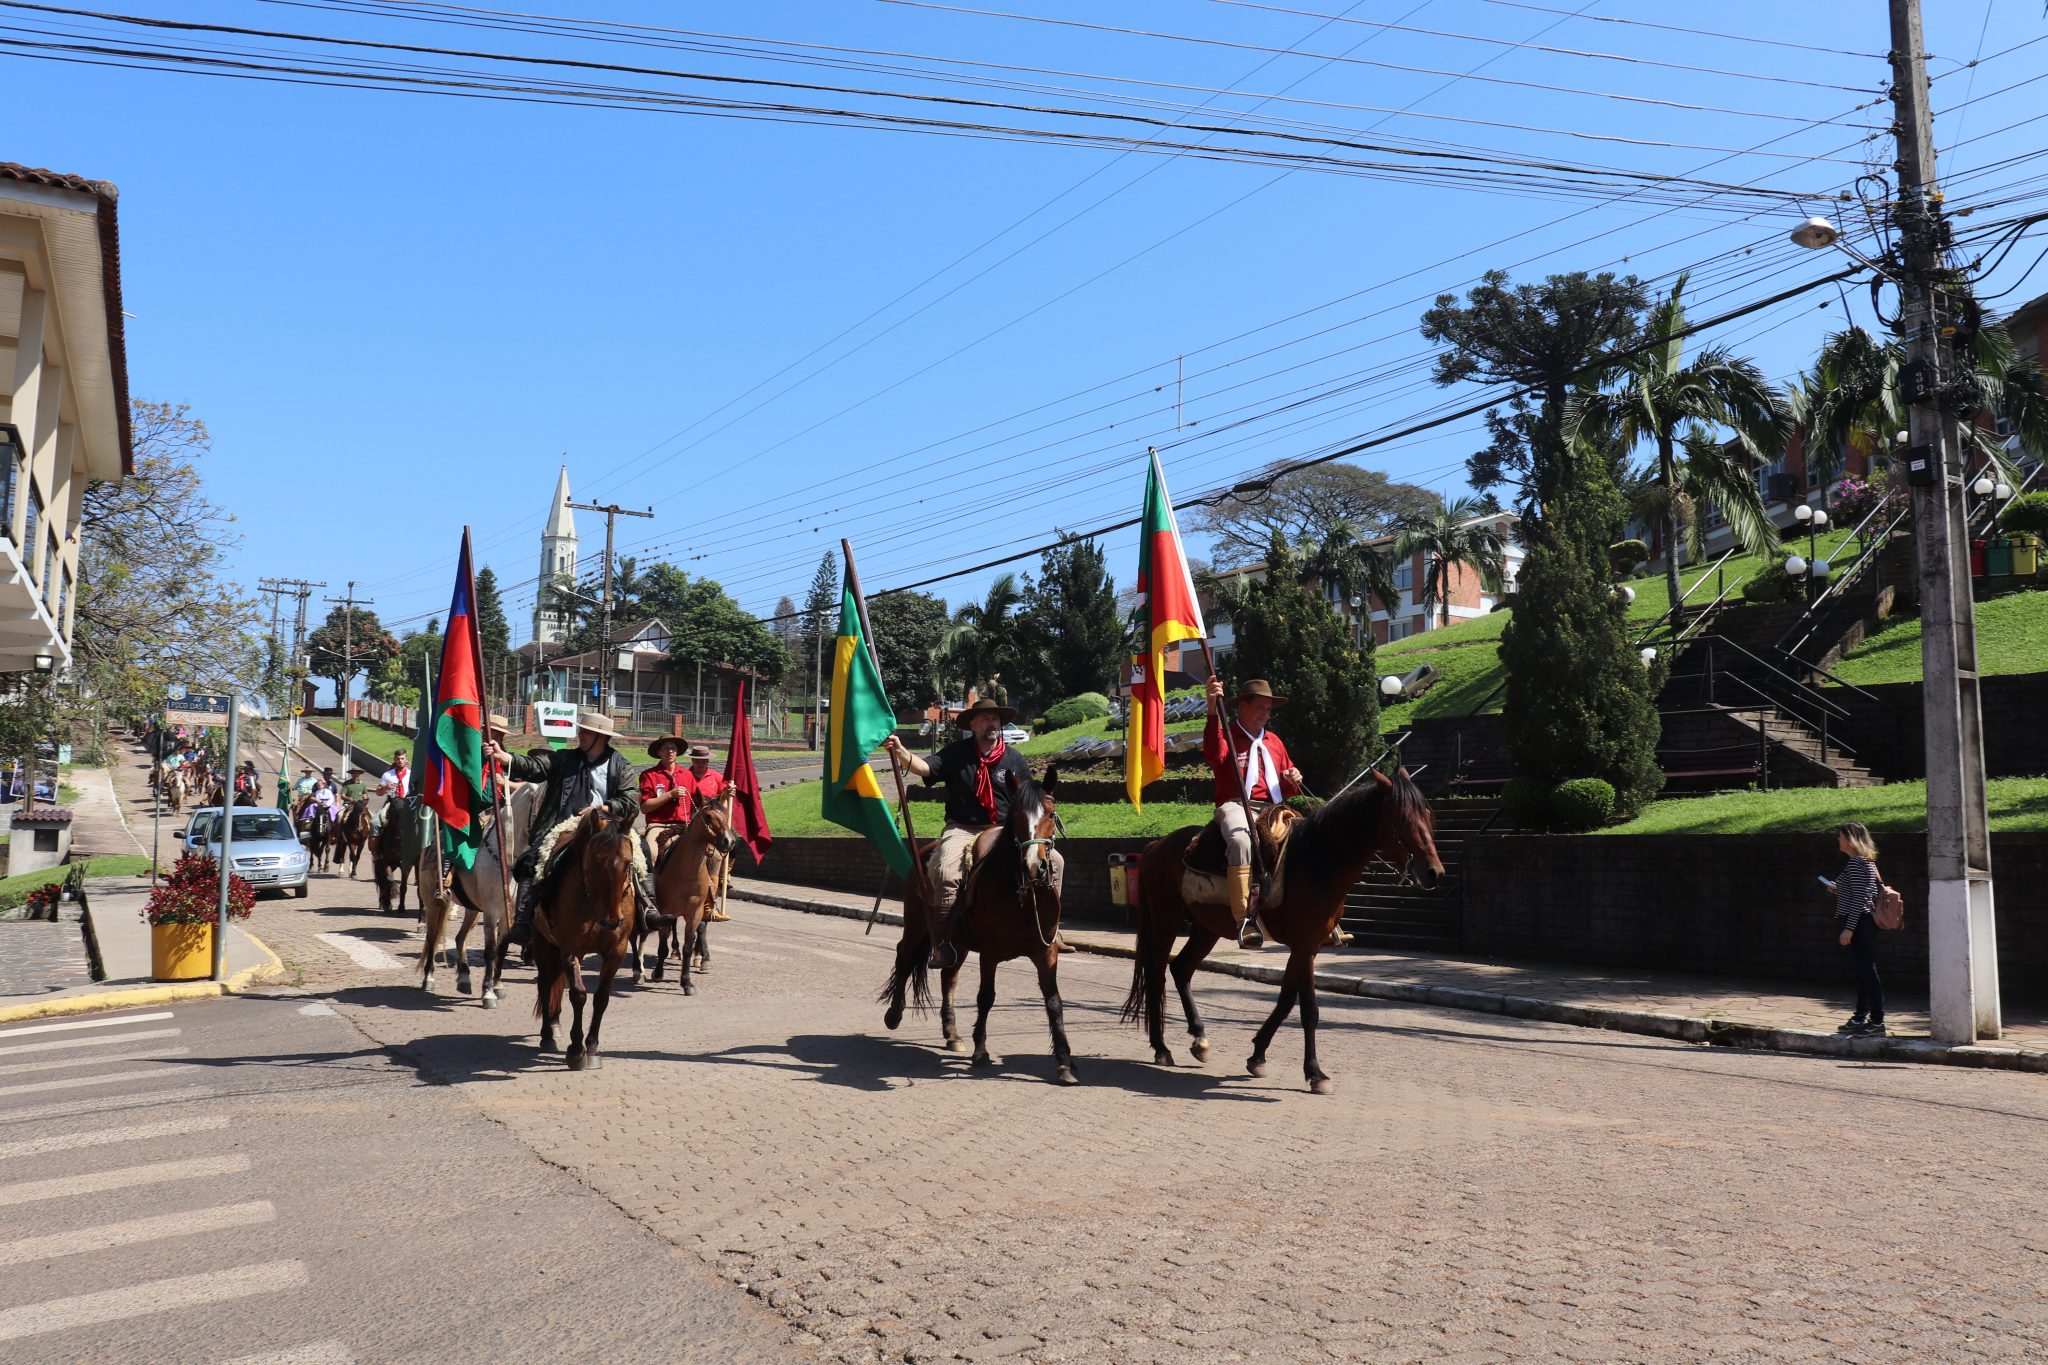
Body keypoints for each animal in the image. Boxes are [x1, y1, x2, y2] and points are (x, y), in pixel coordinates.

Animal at [415, 783, 539, 1008]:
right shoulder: (491, 911)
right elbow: (490, 950)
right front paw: (488, 993)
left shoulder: (508, 913)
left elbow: (502, 947)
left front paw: (497, 986)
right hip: (432, 903)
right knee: (432, 938)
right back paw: (429, 978)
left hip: (472, 910)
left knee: (459, 938)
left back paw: (464, 978)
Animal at [529, 807, 638, 1071]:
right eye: (596, 862)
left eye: (628, 863)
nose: (613, 921)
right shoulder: (571, 949)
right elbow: (578, 994)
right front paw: (576, 1050)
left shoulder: (616, 952)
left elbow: (601, 998)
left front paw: (592, 1047)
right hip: (543, 943)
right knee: (544, 984)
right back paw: (547, 1035)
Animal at [638, 792, 736, 995]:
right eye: (708, 816)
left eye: (725, 814)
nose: (729, 841)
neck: (687, 871)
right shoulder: (665, 909)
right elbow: (662, 945)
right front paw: (657, 973)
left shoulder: (695, 913)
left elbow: (689, 946)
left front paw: (687, 981)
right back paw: (640, 971)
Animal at [879, 766, 1077, 1085]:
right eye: (1017, 815)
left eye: (1050, 812)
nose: (1035, 866)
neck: (1021, 892)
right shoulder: (990, 954)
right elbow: (986, 997)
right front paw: (981, 1050)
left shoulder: (1046, 953)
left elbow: (1054, 1002)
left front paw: (1065, 1061)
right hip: (916, 924)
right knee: (904, 955)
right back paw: (894, 1014)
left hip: (956, 944)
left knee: (949, 977)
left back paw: (952, 1034)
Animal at [1122, 769, 1443, 1095]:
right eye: (1401, 817)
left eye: (1428, 815)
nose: (1434, 873)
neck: (1317, 861)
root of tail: (1157, 845)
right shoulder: (1304, 946)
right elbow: (1309, 1009)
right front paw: (1315, 1072)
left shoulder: (1306, 947)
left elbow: (1287, 1000)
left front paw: (1258, 1055)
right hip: (1165, 919)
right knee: (1156, 974)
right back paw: (1161, 1048)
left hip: (1206, 929)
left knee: (1181, 969)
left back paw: (1200, 1039)